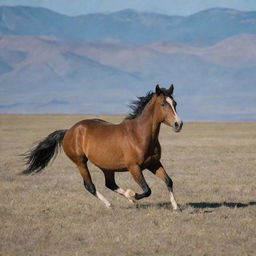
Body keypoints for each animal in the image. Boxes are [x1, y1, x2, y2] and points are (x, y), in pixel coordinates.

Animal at [22, 85, 182, 209]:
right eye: (163, 104)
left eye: (175, 103)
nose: (178, 124)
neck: (139, 135)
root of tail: (68, 131)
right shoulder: (134, 167)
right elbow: (147, 190)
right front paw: (132, 195)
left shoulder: (153, 163)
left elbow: (168, 181)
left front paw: (175, 207)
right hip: (80, 162)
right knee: (90, 185)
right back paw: (111, 204)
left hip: (107, 167)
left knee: (110, 184)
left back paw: (127, 200)